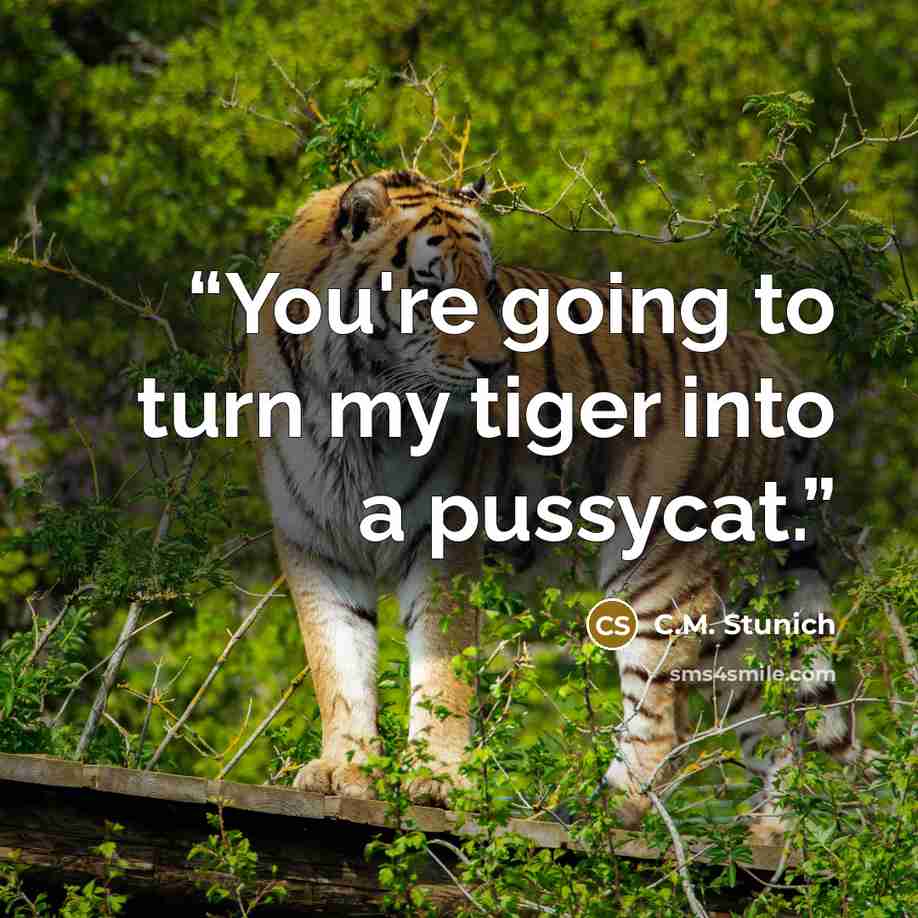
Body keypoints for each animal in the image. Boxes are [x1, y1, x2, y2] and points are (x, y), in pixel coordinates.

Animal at [244, 168, 866, 840]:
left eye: (488, 289)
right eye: (432, 289)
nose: (495, 366)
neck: (355, 403)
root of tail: (764, 356)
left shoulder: (442, 538)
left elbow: (442, 667)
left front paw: (439, 780)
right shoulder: (315, 544)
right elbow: (339, 667)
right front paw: (346, 770)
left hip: (658, 559)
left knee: (663, 715)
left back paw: (604, 810)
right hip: (735, 609)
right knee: (776, 722)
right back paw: (778, 838)